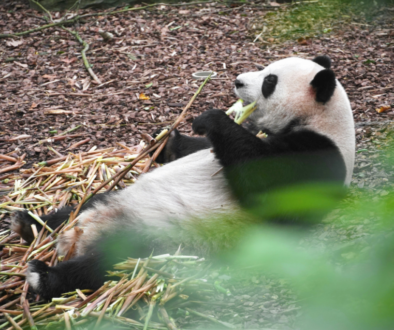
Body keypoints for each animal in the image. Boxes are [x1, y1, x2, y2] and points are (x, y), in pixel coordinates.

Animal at [9, 55, 356, 300]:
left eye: (269, 81)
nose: (238, 81)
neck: (321, 120)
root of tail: (81, 236)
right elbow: (196, 148)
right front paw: (166, 139)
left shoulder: (319, 157)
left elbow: (267, 185)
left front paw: (211, 118)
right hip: (109, 200)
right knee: (76, 209)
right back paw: (28, 223)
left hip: (157, 241)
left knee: (107, 264)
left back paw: (44, 277)